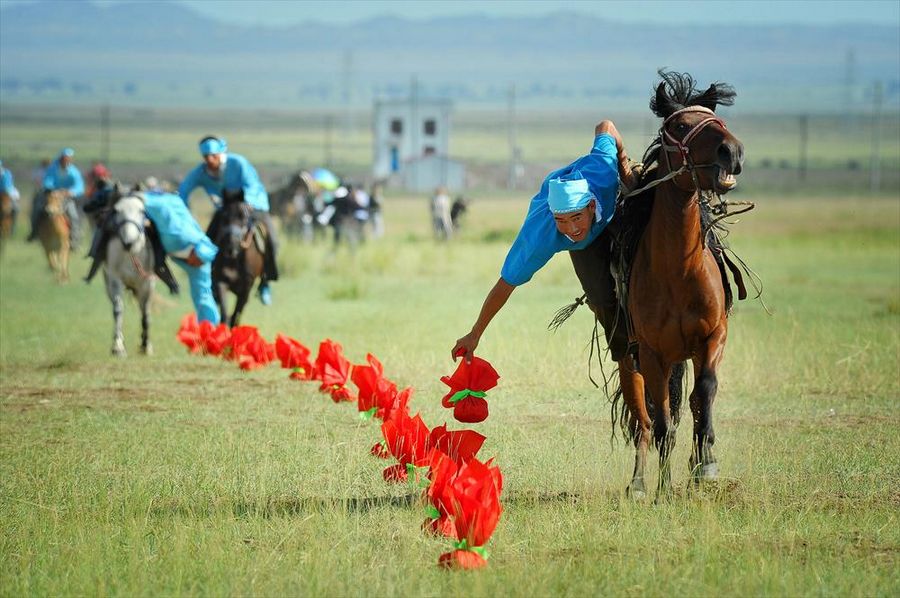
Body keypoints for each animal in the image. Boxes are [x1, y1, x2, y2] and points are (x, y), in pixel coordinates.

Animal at [211, 191, 268, 328]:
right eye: (224, 217)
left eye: (244, 217)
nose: (231, 246)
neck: (234, 261)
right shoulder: (221, 282)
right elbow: (225, 314)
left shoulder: (246, 288)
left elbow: (236, 315)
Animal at [620, 71, 744, 502]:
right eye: (679, 126)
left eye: (716, 118)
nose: (731, 151)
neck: (678, 272)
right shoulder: (654, 354)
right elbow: (662, 424)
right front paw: (663, 489)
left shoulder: (714, 337)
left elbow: (703, 393)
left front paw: (706, 465)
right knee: (646, 420)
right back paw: (640, 485)